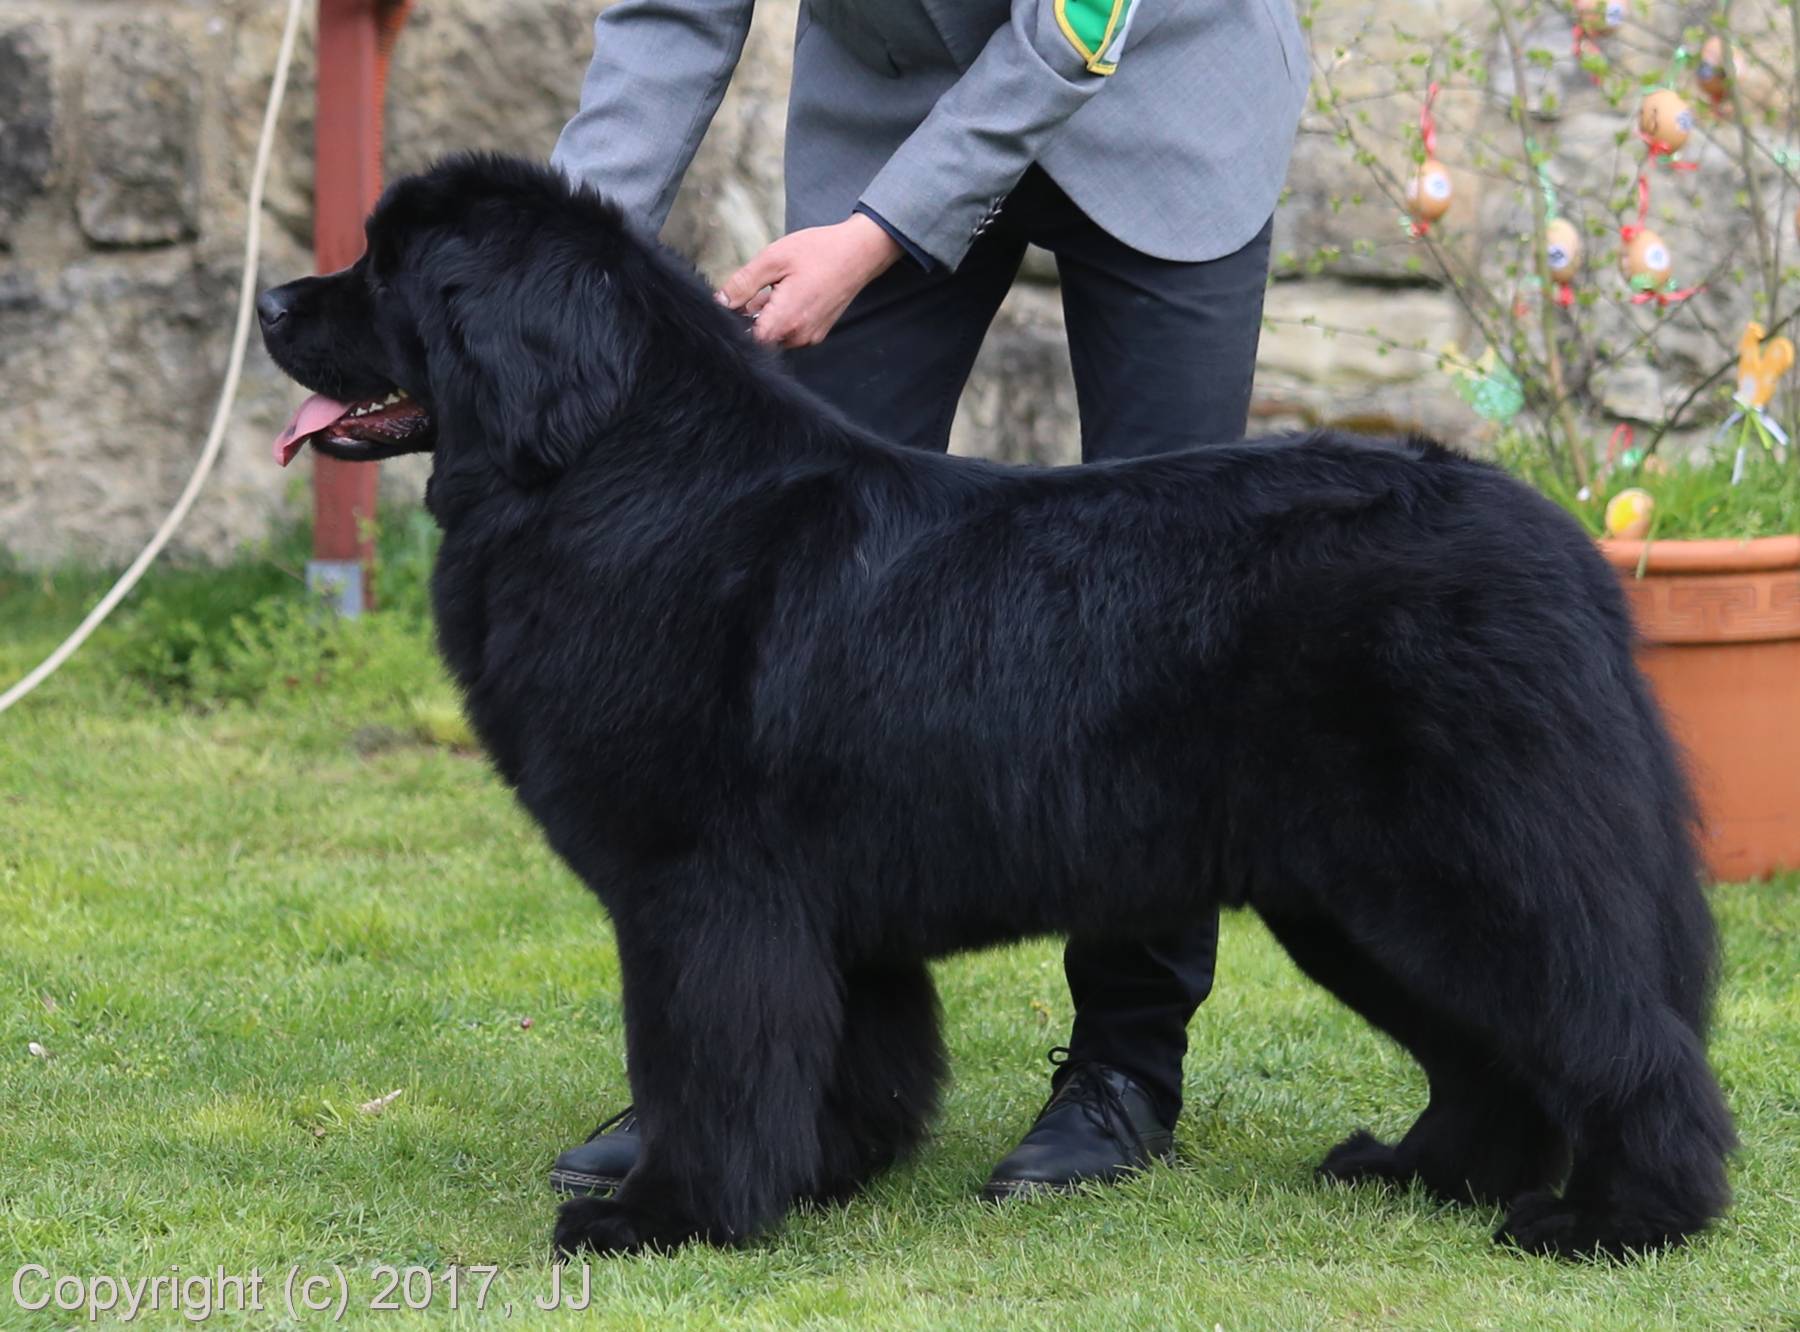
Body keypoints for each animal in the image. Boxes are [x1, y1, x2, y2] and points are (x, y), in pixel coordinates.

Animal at [258, 153, 1733, 1260]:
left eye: (389, 272)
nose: (271, 300)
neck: (605, 470)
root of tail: (1557, 542)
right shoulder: (822, 905)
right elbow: (848, 1052)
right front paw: (825, 1175)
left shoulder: (706, 888)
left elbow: (710, 1062)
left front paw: (672, 1217)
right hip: (1349, 896)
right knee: (1495, 1055)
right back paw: (1424, 1173)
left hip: (1464, 869)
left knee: (1618, 1036)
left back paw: (1619, 1221)